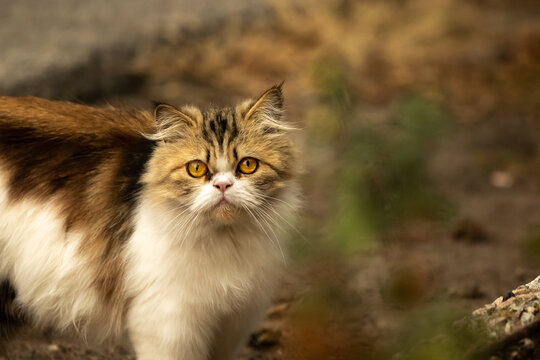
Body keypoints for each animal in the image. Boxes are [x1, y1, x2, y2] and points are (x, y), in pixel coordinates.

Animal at [0, 85, 300, 360]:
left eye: (248, 165)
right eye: (196, 168)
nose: (223, 185)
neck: (226, 241)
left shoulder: (233, 322)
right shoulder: (168, 322)